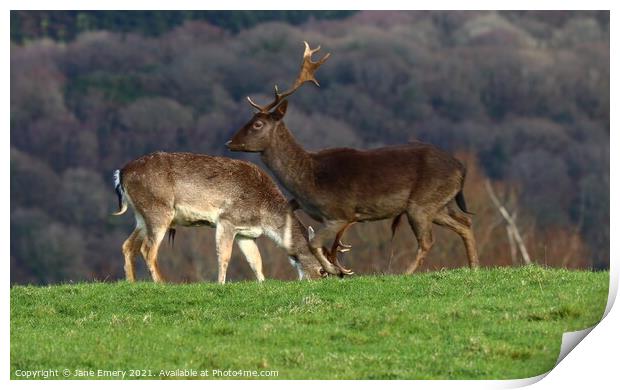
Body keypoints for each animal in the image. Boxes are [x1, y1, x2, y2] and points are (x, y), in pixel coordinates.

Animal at [112, 152, 324, 284]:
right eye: (322, 269)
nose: (318, 280)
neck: (264, 214)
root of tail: (120, 174)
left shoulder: (246, 234)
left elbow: (256, 261)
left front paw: (263, 283)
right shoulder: (227, 219)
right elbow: (224, 256)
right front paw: (220, 283)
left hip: (141, 216)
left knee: (127, 245)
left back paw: (131, 283)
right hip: (159, 210)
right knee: (147, 249)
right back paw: (162, 283)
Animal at [226, 42, 480, 274]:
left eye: (258, 124)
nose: (229, 142)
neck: (309, 178)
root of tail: (462, 169)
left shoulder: (339, 213)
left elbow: (314, 242)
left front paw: (331, 269)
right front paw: (332, 268)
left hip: (422, 202)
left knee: (428, 240)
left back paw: (405, 273)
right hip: (440, 203)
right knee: (465, 223)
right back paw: (474, 266)